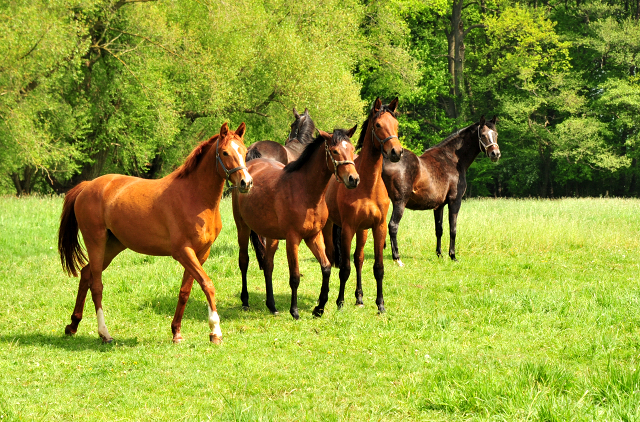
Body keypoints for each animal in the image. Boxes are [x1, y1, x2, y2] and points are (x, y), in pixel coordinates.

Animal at [57, 121, 252, 342]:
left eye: (245, 151)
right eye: (225, 152)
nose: (246, 182)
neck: (194, 196)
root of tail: (87, 186)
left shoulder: (201, 254)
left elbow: (185, 291)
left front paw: (176, 332)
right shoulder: (183, 252)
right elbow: (207, 284)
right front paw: (215, 331)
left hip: (112, 246)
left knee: (86, 274)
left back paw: (73, 325)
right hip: (96, 242)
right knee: (96, 285)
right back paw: (104, 333)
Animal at [232, 127, 360, 318]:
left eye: (352, 150)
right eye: (335, 151)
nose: (354, 179)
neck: (306, 192)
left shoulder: (314, 236)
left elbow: (326, 267)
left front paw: (319, 307)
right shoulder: (293, 240)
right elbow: (295, 276)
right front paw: (294, 311)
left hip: (271, 236)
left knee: (268, 265)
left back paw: (272, 306)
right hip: (243, 228)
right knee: (244, 261)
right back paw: (245, 301)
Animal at [322, 96, 402, 314]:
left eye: (396, 124)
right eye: (378, 125)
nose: (396, 152)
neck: (368, 185)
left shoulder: (378, 227)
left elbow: (377, 267)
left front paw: (380, 304)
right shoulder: (348, 228)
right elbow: (344, 268)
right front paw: (339, 302)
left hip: (363, 230)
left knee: (358, 258)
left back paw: (359, 297)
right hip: (331, 227)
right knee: (332, 257)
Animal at [382, 115, 502, 266]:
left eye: (496, 134)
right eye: (483, 135)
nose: (495, 154)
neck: (452, 159)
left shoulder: (438, 206)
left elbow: (439, 229)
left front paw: (439, 254)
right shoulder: (455, 201)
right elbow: (453, 229)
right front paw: (453, 255)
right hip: (400, 203)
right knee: (393, 226)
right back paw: (397, 258)